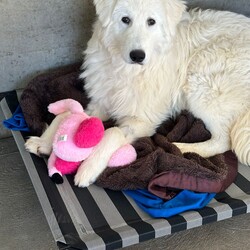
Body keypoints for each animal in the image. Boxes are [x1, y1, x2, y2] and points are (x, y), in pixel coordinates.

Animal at [25, 0, 250, 187]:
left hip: (200, 82)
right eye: (125, 20)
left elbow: (112, 133)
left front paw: (88, 169)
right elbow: (66, 113)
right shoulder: (101, 103)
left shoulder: (143, 120)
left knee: (224, 140)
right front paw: (43, 142)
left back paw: (180, 149)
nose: (137, 56)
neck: (126, 71)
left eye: (151, 22)